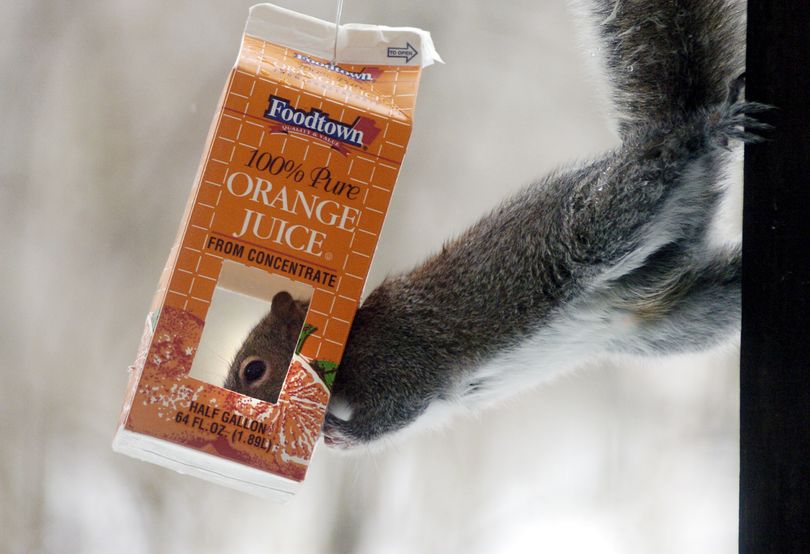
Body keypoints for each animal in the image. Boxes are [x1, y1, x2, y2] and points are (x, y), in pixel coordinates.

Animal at [223, 0, 764, 448]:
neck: (342, 339)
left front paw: (340, 436)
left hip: (595, 226)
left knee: (660, 164)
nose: (229, 405)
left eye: (254, 369)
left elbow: (396, 414)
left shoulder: (396, 367)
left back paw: (709, 127)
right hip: (676, 316)